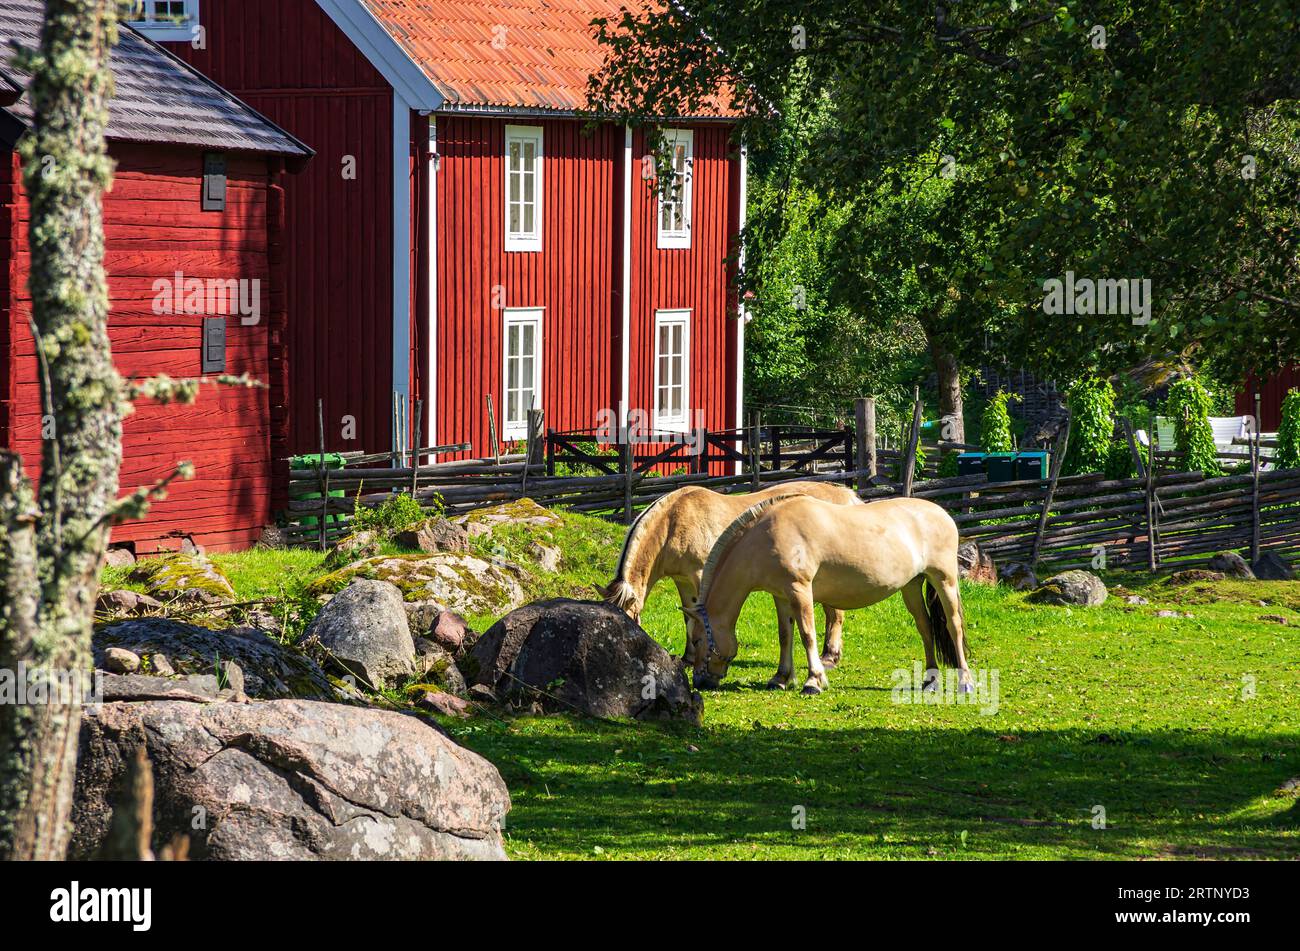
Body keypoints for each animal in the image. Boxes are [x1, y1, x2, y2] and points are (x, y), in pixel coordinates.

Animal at [600, 483, 863, 659]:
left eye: (627, 620)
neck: (673, 522)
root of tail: (846, 495)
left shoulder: (699, 575)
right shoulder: (682, 580)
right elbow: (688, 617)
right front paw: (688, 656)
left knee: (835, 614)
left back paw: (830, 653)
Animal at [686, 493, 972, 696]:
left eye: (698, 640)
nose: (699, 681)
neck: (766, 535)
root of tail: (943, 515)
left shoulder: (800, 590)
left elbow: (807, 635)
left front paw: (814, 681)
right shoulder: (781, 596)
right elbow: (785, 636)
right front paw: (780, 678)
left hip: (944, 581)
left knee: (954, 626)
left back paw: (965, 681)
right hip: (912, 586)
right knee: (925, 628)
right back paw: (930, 680)